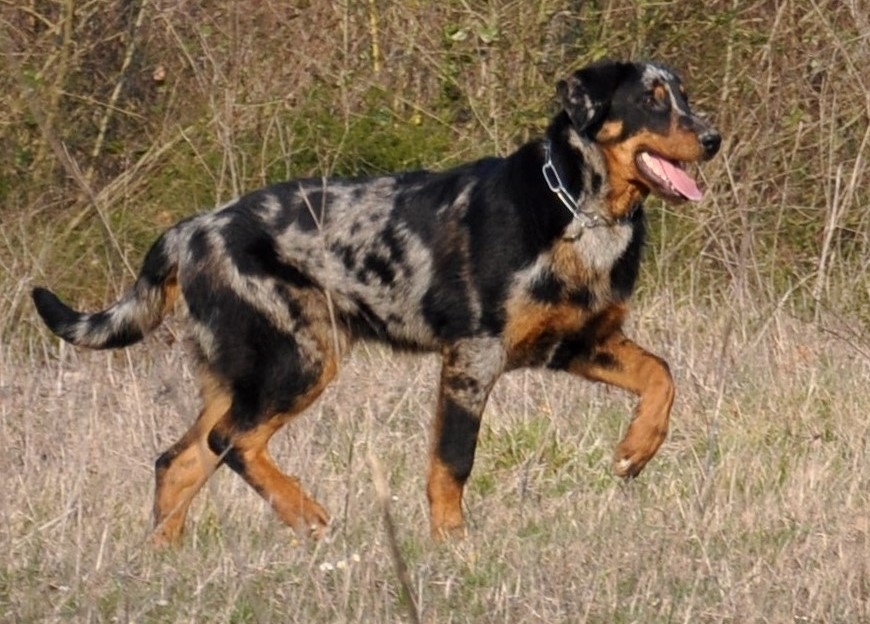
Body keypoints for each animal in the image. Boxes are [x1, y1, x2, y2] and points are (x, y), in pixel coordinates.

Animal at [30, 61, 724, 544]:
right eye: (652, 100)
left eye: (683, 96)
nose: (714, 137)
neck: (582, 213)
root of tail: (189, 230)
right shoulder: (473, 357)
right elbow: (452, 463)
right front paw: (453, 546)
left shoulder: (579, 343)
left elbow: (661, 376)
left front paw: (638, 449)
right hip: (298, 360)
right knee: (232, 441)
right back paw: (306, 513)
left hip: (246, 372)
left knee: (181, 461)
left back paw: (162, 562)